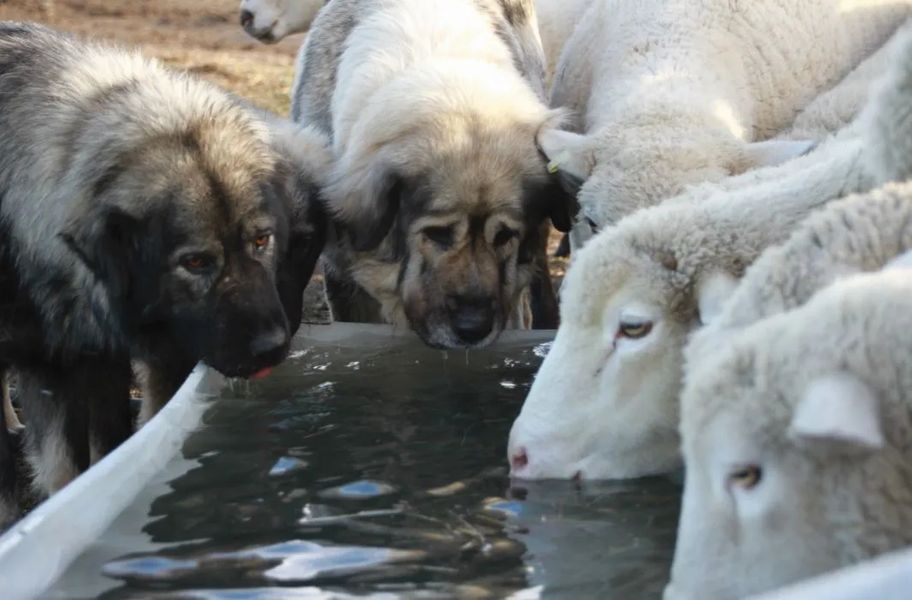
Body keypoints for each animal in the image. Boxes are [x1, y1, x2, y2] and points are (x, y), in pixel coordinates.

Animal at [0, 22, 330, 520]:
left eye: (262, 240)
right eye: (194, 263)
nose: (273, 347)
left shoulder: (100, 359)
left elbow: (106, 454)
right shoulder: (57, 367)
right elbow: (59, 474)